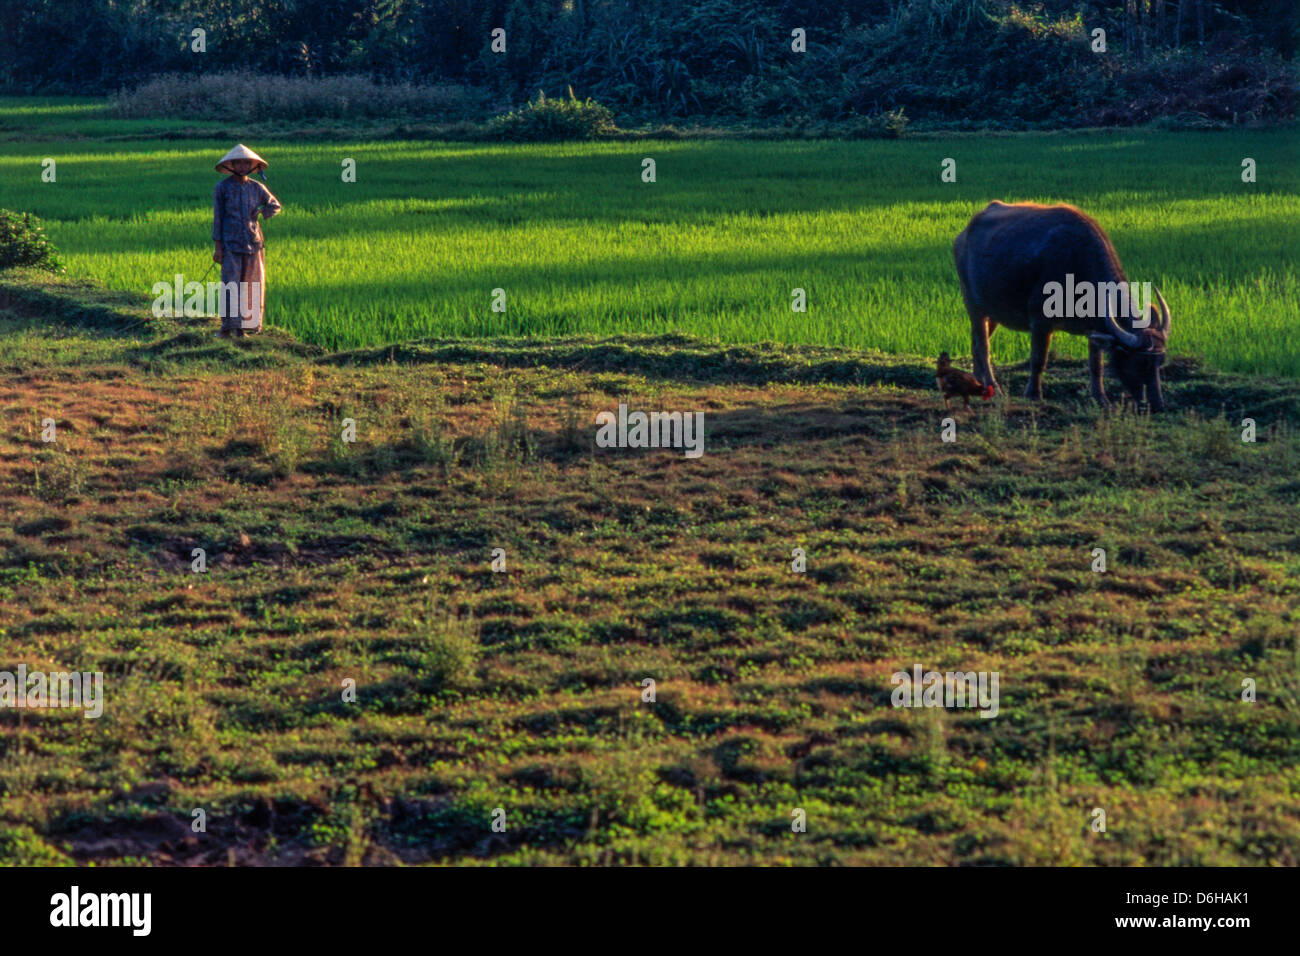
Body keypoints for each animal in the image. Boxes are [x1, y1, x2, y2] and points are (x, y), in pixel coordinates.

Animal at [951, 200, 1175, 408]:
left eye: (1160, 362)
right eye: (1141, 362)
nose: (1157, 404)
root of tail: (963, 235)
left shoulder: (1094, 326)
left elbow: (1096, 364)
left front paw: (1100, 398)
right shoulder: (1040, 322)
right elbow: (1038, 359)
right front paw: (1033, 394)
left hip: (993, 312)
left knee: (975, 342)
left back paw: (978, 382)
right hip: (973, 305)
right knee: (983, 346)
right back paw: (993, 386)